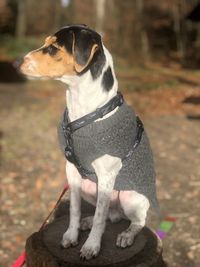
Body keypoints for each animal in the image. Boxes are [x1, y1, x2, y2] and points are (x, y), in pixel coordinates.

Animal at [19, 24, 158, 262]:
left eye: (54, 48)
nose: (19, 62)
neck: (83, 114)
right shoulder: (72, 172)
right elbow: (74, 210)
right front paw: (71, 235)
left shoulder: (106, 176)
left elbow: (101, 218)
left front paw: (92, 246)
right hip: (88, 187)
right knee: (111, 215)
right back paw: (87, 221)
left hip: (131, 197)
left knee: (135, 220)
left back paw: (126, 235)